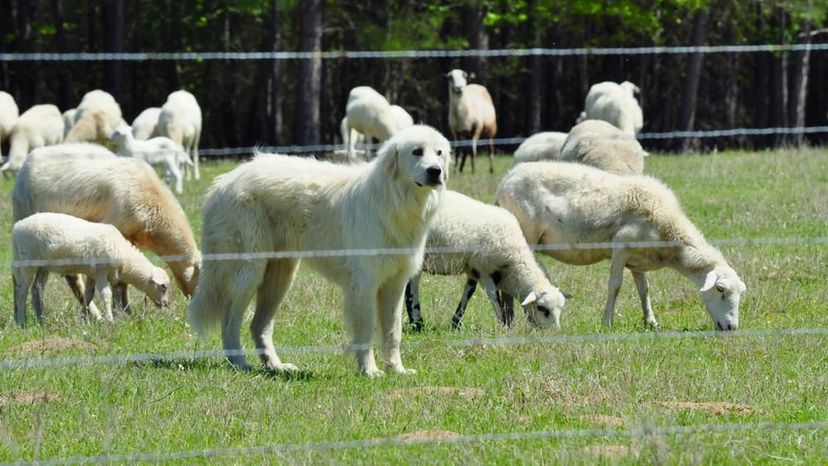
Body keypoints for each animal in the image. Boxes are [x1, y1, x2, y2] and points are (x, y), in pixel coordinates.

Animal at [11, 213, 171, 326]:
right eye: (163, 287)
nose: (166, 304)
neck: (123, 253)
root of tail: (17, 227)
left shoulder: (92, 274)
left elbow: (88, 295)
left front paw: (82, 319)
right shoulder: (101, 271)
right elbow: (106, 294)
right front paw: (110, 320)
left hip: (41, 266)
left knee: (36, 289)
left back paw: (40, 321)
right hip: (27, 262)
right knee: (21, 290)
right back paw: (22, 321)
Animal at [188, 125, 450, 376]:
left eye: (439, 153)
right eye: (417, 152)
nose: (435, 171)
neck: (395, 200)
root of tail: (223, 181)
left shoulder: (395, 284)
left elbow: (393, 333)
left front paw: (397, 370)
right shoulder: (364, 284)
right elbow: (365, 331)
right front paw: (369, 371)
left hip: (279, 277)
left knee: (258, 325)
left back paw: (276, 367)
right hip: (249, 272)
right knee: (229, 322)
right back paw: (240, 363)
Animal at [404, 189, 568, 332]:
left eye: (560, 308)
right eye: (541, 308)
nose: (554, 332)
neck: (513, 259)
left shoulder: (473, 268)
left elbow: (468, 294)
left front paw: (456, 323)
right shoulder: (485, 269)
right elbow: (493, 296)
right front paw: (503, 325)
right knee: (411, 289)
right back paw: (417, 323)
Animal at [494, 160, 748, 332]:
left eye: (740, 293)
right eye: (720, 289)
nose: (732, 327)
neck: (668, 231)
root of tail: (505, 180)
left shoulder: (638, 260)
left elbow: (644, 290)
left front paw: (651, 322)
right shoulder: (621, 247)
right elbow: (614, 286)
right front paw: (607, 321)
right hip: (524, 236)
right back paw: (509, 321)